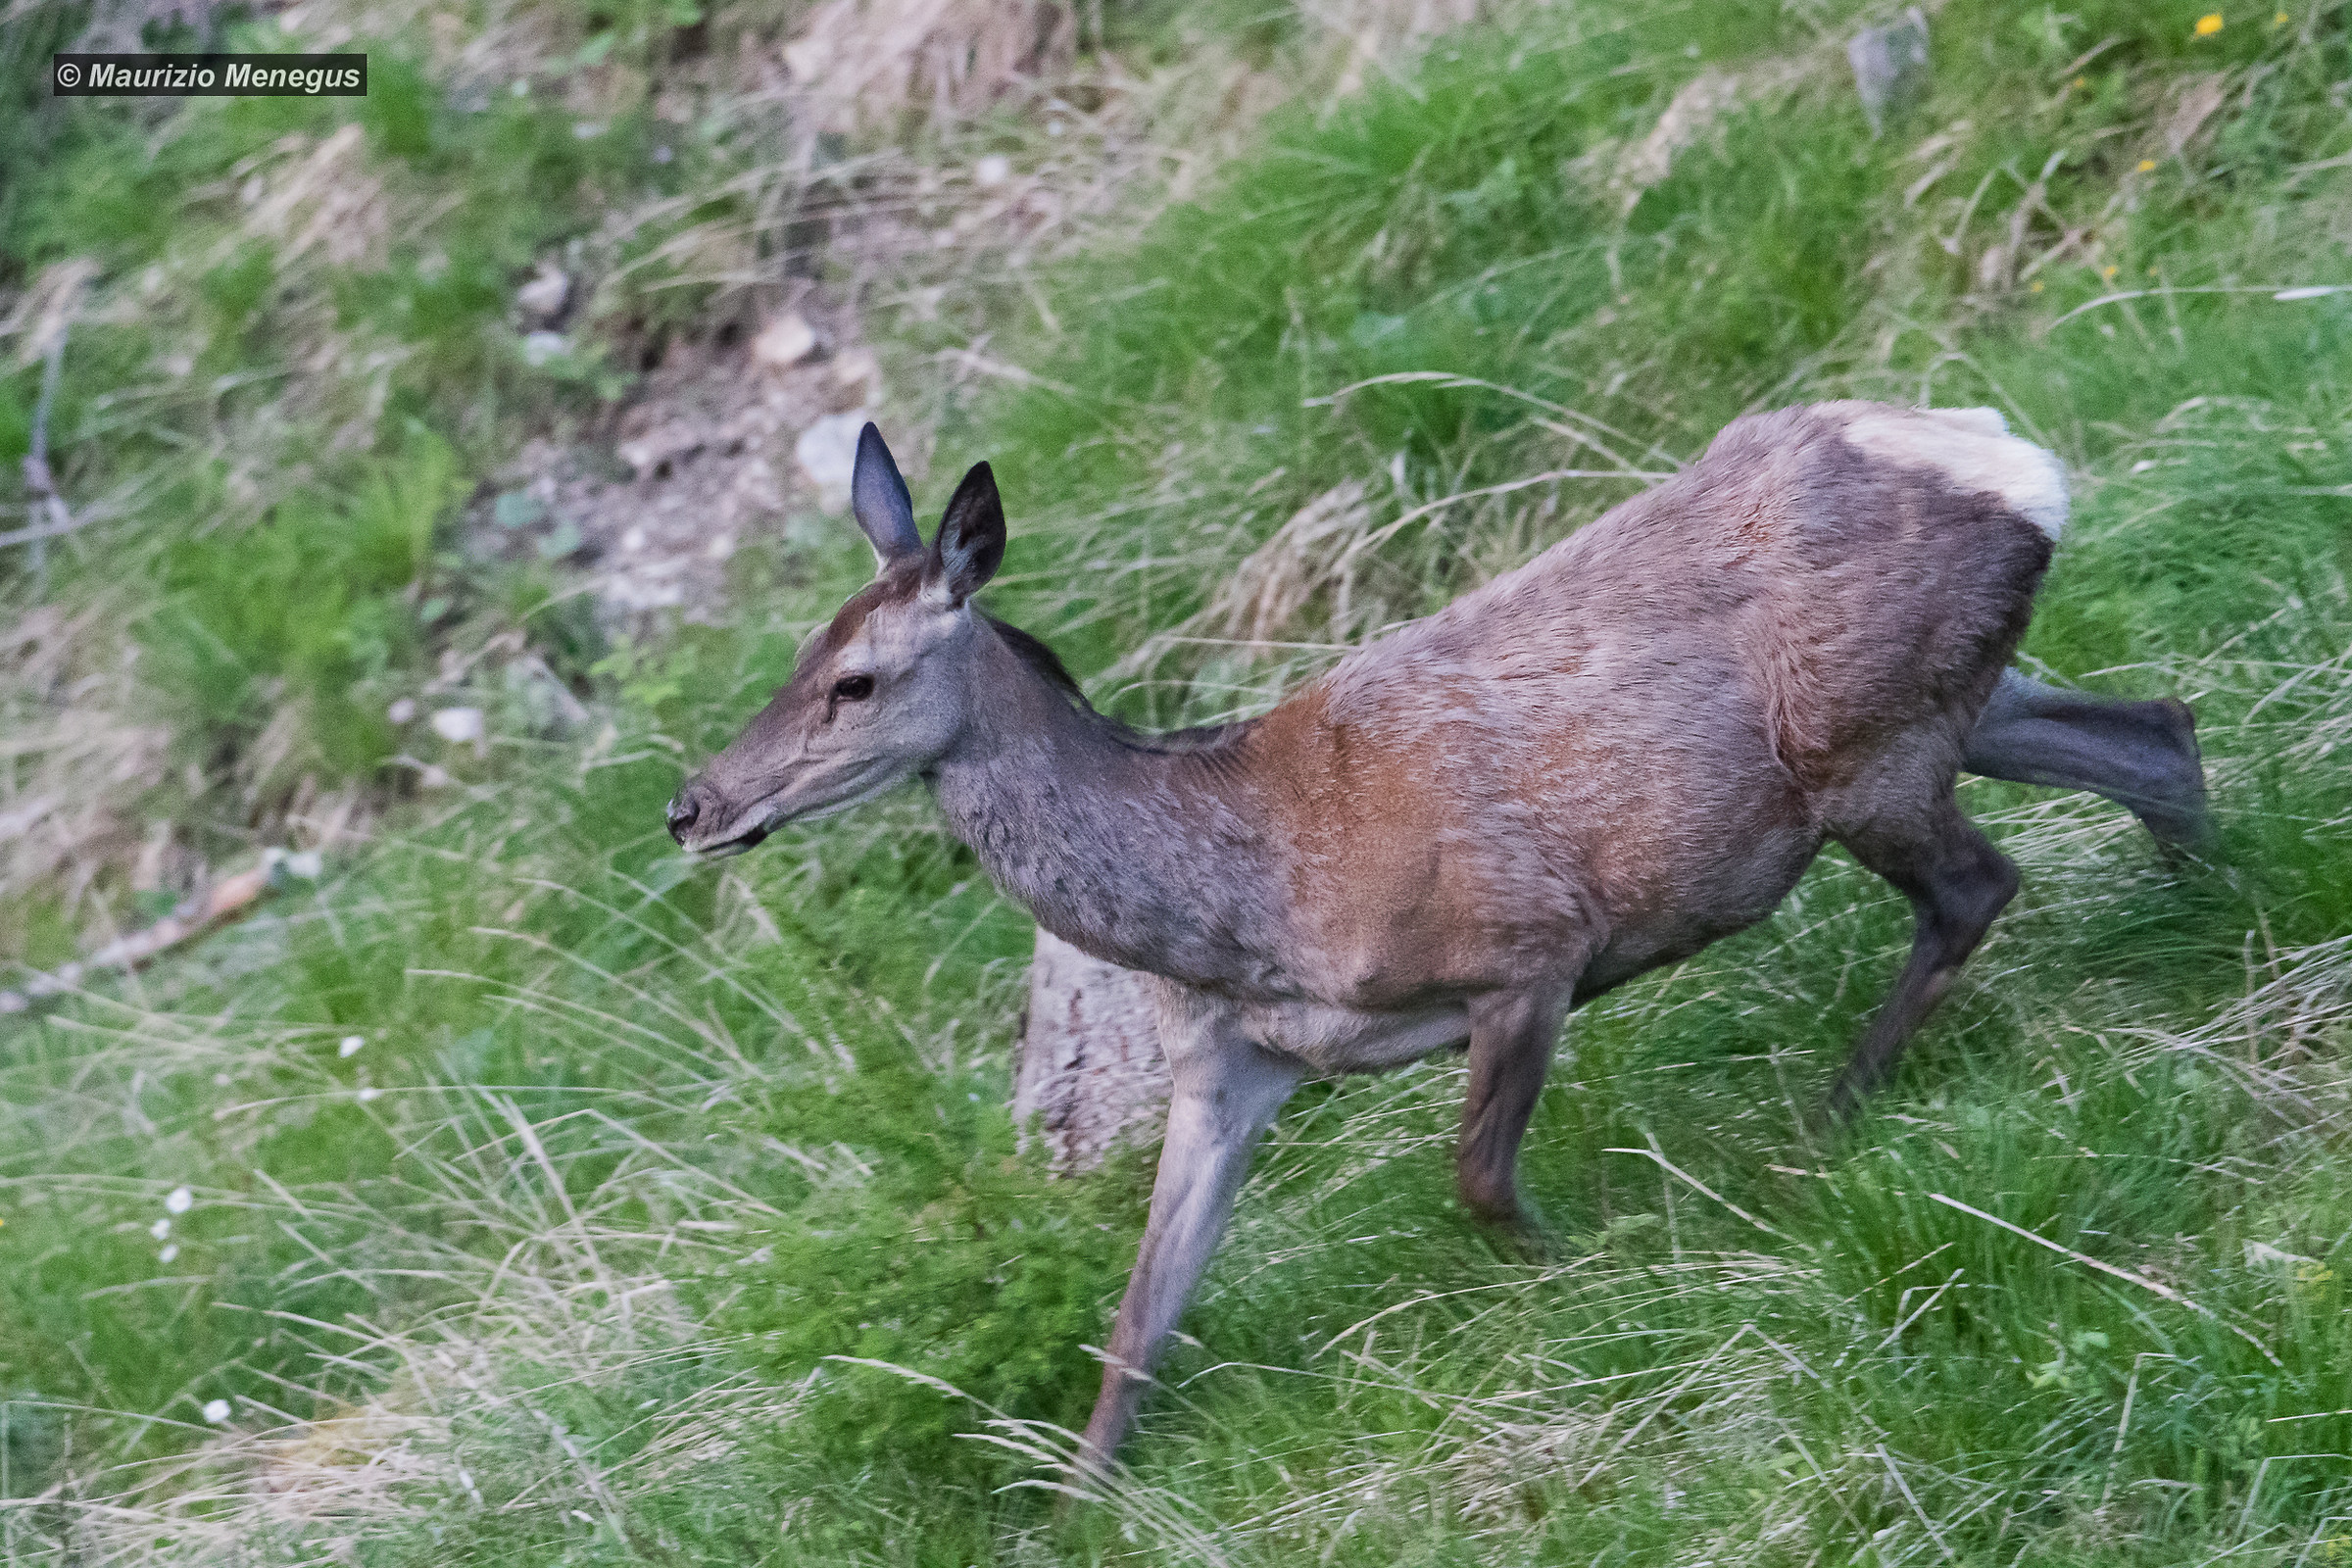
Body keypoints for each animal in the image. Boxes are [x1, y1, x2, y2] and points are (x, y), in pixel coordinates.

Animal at [666, 405, 2210, 1469]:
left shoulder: (1530, 942)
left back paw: (1828, 1115)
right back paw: (2213, 912)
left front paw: (1595, 1264)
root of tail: (2007, 459)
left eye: (856, 683)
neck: (1246, 900)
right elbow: (1136, 1324)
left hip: (1862, 745)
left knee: (1979, 884)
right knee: (2157, 732)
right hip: (1960, 700)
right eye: (797, 654)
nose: (692, 807)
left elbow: (1474, 1180)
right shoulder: (1228, 1069)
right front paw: (1079, 1500)